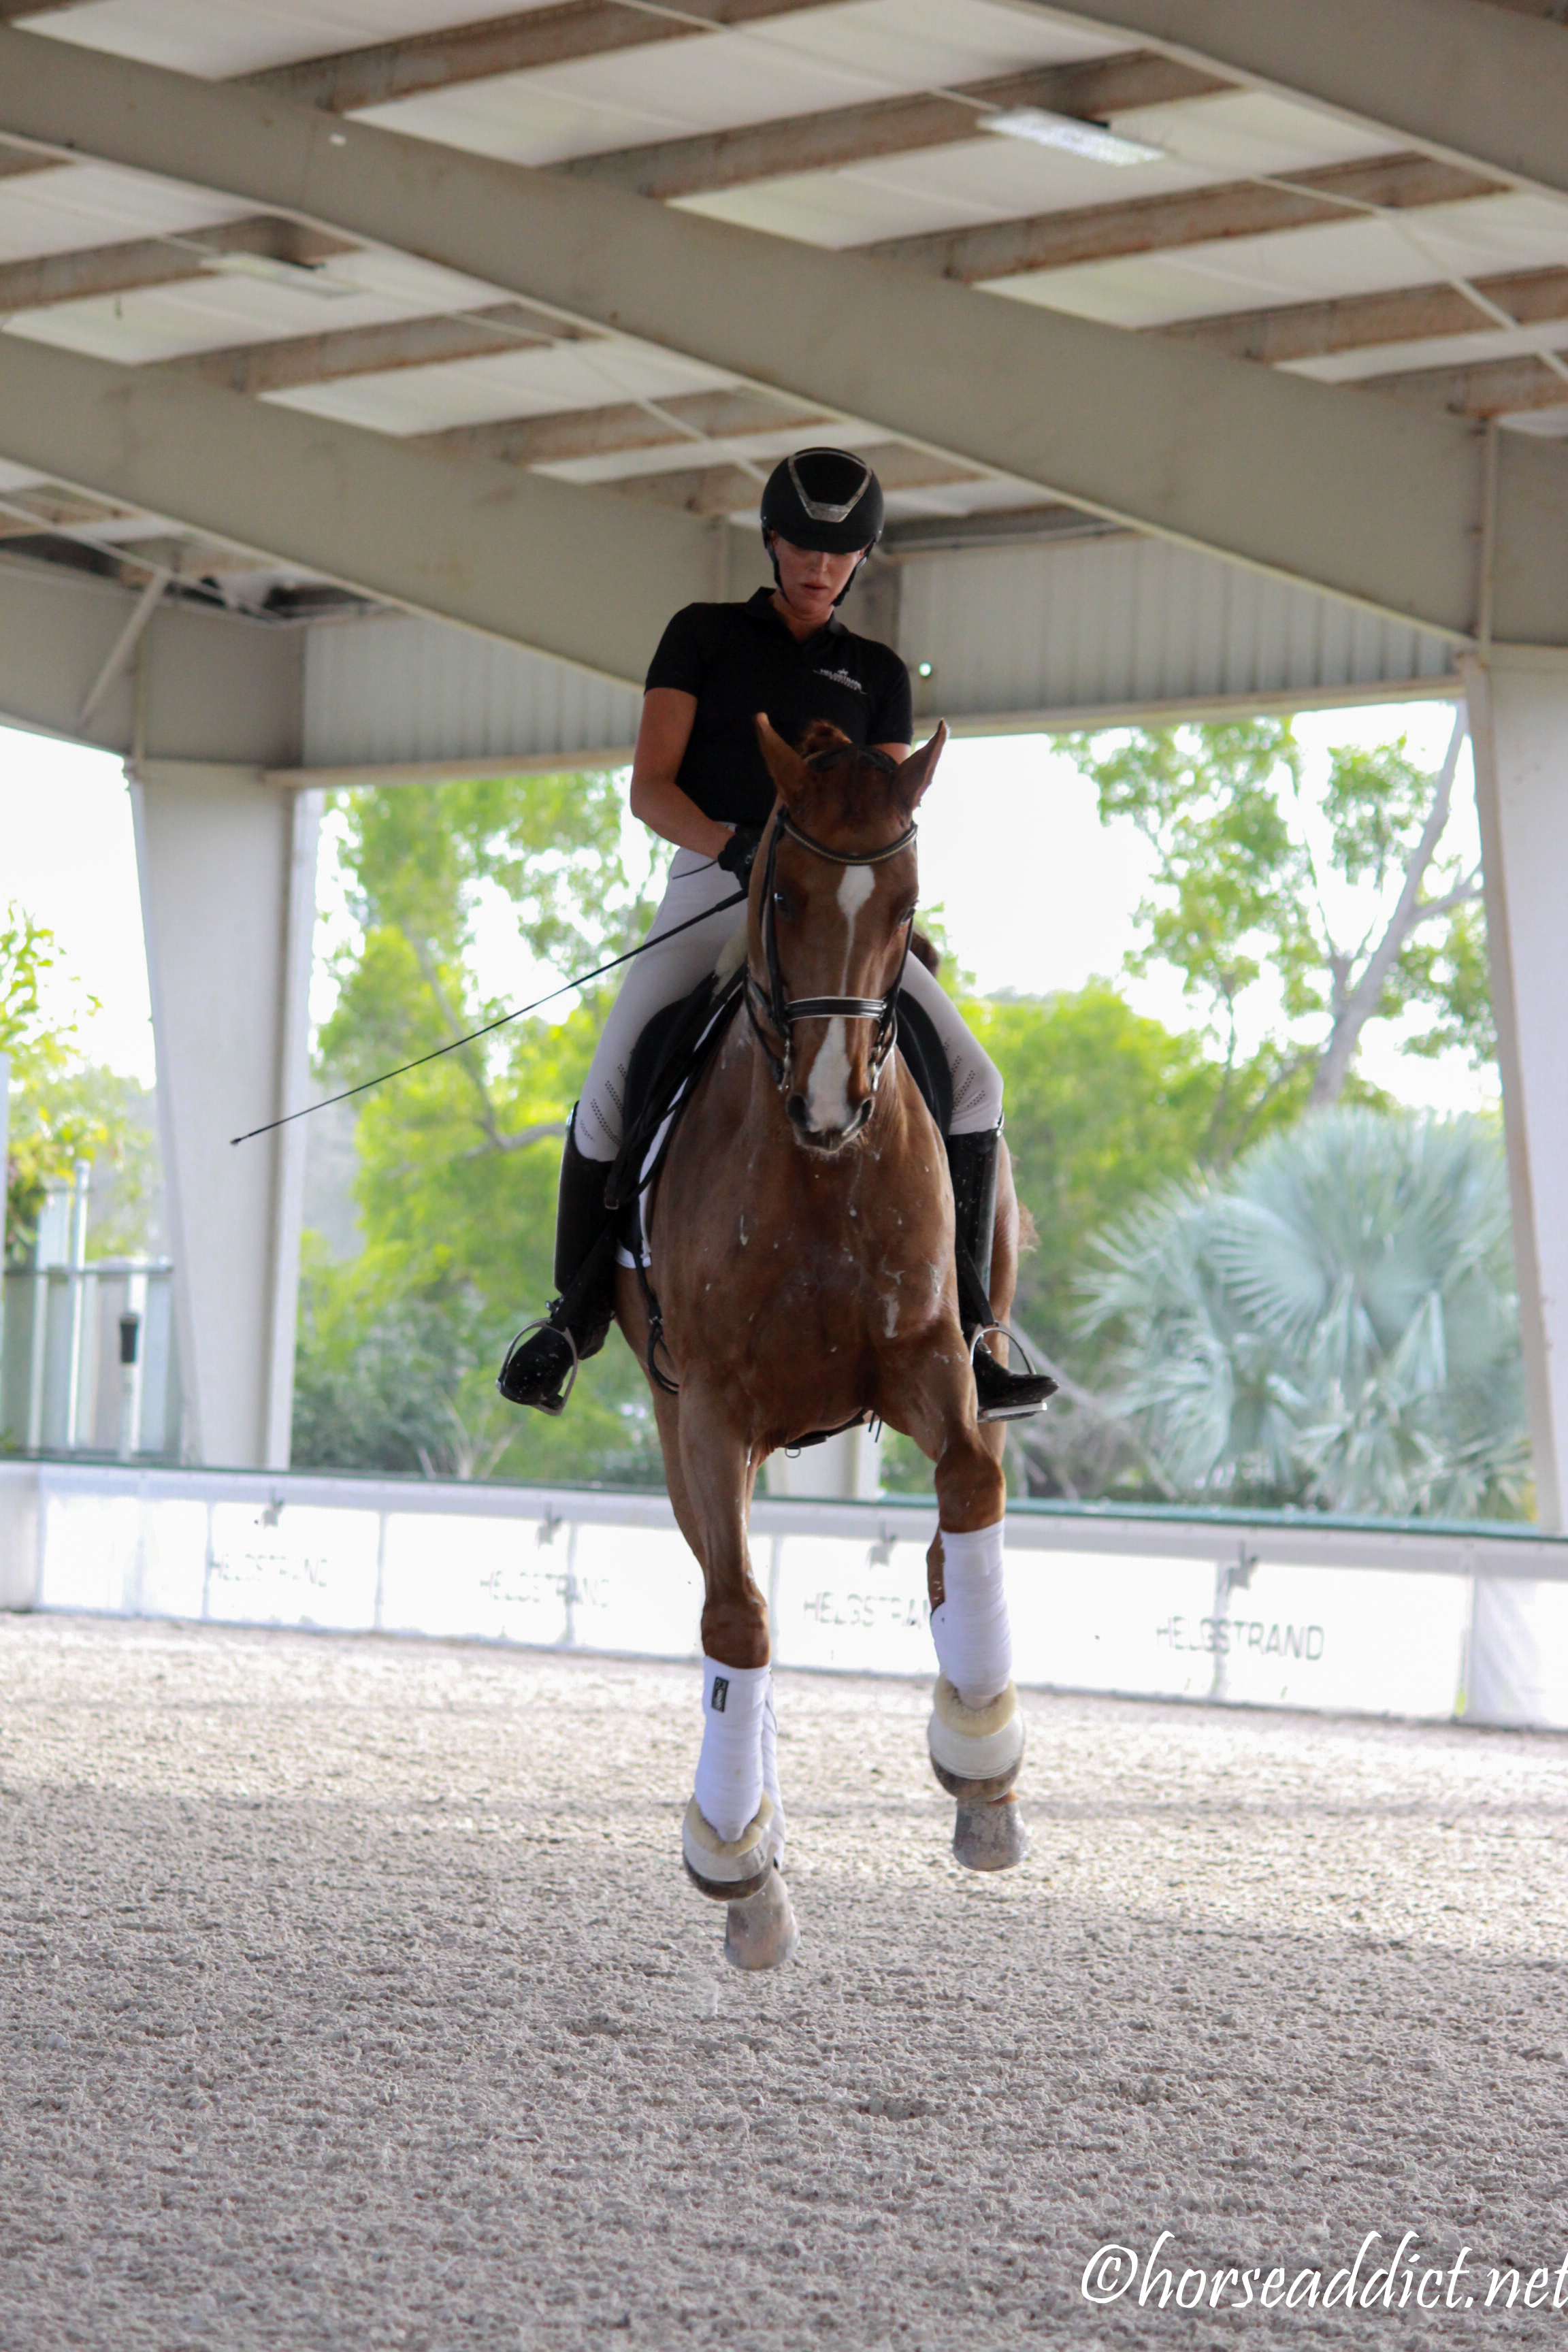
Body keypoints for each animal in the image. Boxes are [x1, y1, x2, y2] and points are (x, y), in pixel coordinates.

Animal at [615, 716, 1029, 1969]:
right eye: (782, 892)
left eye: (905, 902)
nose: (830, 1103)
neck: (815, 1178)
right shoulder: (708, 1412)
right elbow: (737, 1617)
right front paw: (736, 1861)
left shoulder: (928, 1363)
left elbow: (970, 1492)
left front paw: (983, 1757)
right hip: (690, 1430)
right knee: (734, 1594)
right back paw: (751, 1836)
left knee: (957, 1526)